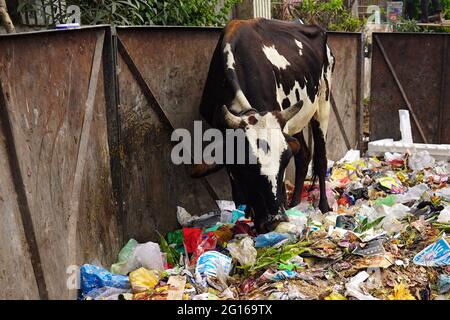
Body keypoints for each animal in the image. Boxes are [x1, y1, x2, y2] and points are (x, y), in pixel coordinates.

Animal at [190, 18, 334, 232]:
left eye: (284, 161)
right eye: (246, 166)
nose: (275, 219)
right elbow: (236, 189)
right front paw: (248, 214)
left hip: (323, 103)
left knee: (320, 158)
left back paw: (323, 207)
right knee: (303, 155)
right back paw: (294, 204)